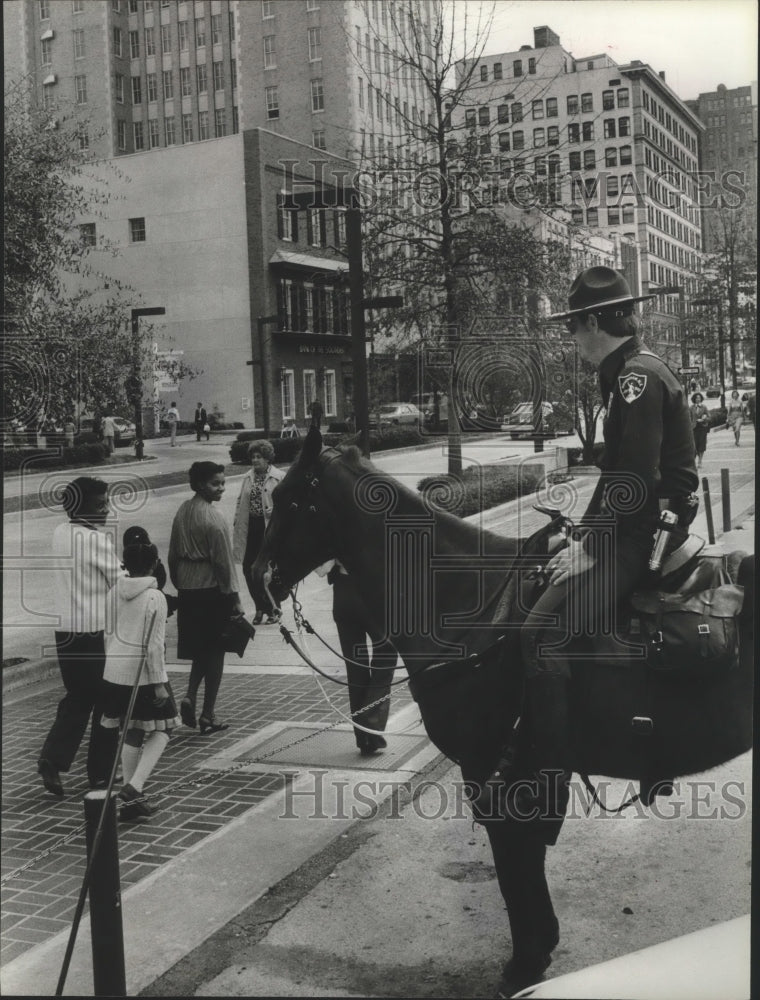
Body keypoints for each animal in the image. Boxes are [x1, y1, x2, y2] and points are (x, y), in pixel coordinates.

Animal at [252, 426, 752, 996]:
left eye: (289, 499)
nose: (256, 578)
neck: (470, 601)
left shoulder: (491, 768)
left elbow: (514, 866)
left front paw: (526, 962)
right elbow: (522, 862)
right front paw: (538, 949)